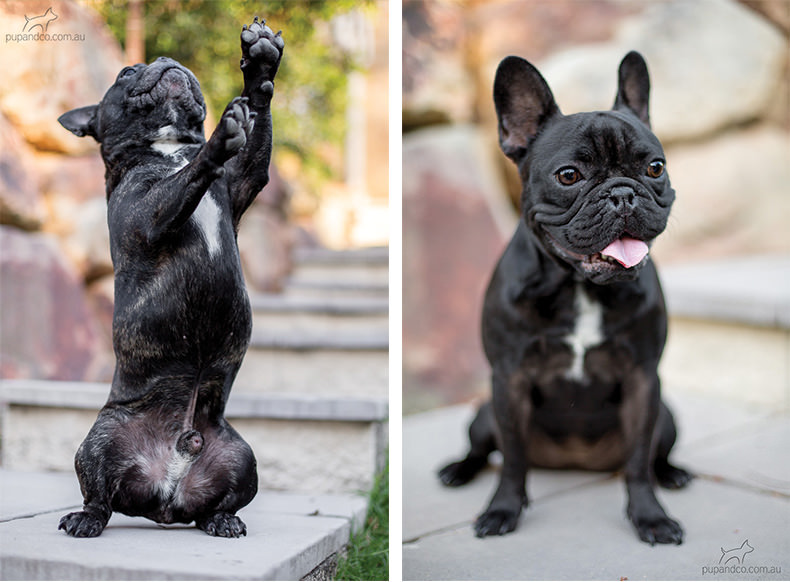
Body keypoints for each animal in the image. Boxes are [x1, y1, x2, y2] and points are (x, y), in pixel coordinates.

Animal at [58, 17, 286, 540]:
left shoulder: (245, 181)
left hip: (241, 456)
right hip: (100, 440)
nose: (165, 60)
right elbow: (188, 179)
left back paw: (222, 520)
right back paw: (85, 518)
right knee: (101, 496)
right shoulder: (148, 213)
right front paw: (218, 137)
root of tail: (164, 497)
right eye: (125, 70)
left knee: (217, 502)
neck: (168, 151)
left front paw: (261, 63)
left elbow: (257, 132)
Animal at [440, 51, 692, 548]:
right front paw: (502, 509)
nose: (622, 193)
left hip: (668, 414)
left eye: (655, 168)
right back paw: (459, 469)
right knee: (484, 448)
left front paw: (650, 517)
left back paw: (672, 473)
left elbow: (638, 461)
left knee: (654, 454)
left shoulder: (643, 380)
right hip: (482, 413)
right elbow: (513, 459)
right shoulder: (509, 380)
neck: (581, 287)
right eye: (569, 176)